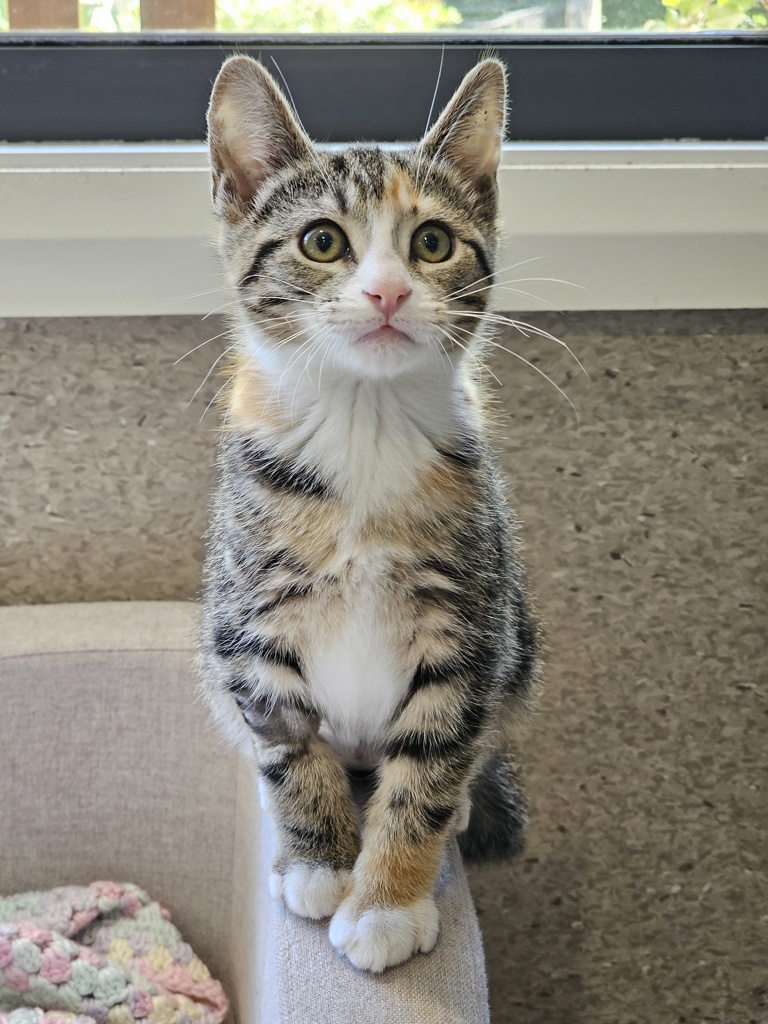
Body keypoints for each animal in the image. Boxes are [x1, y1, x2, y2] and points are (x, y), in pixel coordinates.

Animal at [198, 54, 539, 973]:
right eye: (322, 240)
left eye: (432, 242)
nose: (386, 292)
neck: (365, 427)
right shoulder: (247, 623)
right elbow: (290, 748)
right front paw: (321, 861)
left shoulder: (471, 627)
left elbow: (429, 764)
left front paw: (387, 900)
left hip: (521, 635)